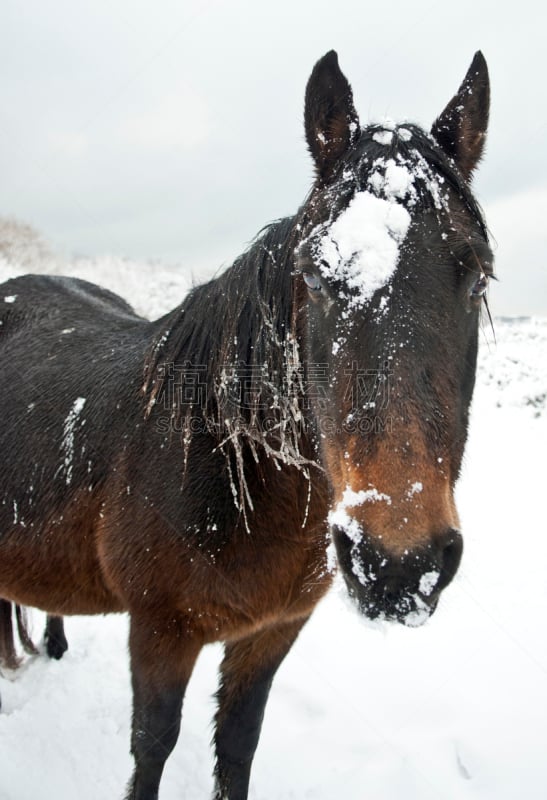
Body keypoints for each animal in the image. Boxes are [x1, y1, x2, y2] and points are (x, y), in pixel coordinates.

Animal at [0, 51, 494, 800]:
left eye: (478, 278)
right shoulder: (159, 632)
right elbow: (152, 746)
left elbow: (236, 746)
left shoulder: (271, 632)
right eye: (316, 276)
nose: (396, 564)